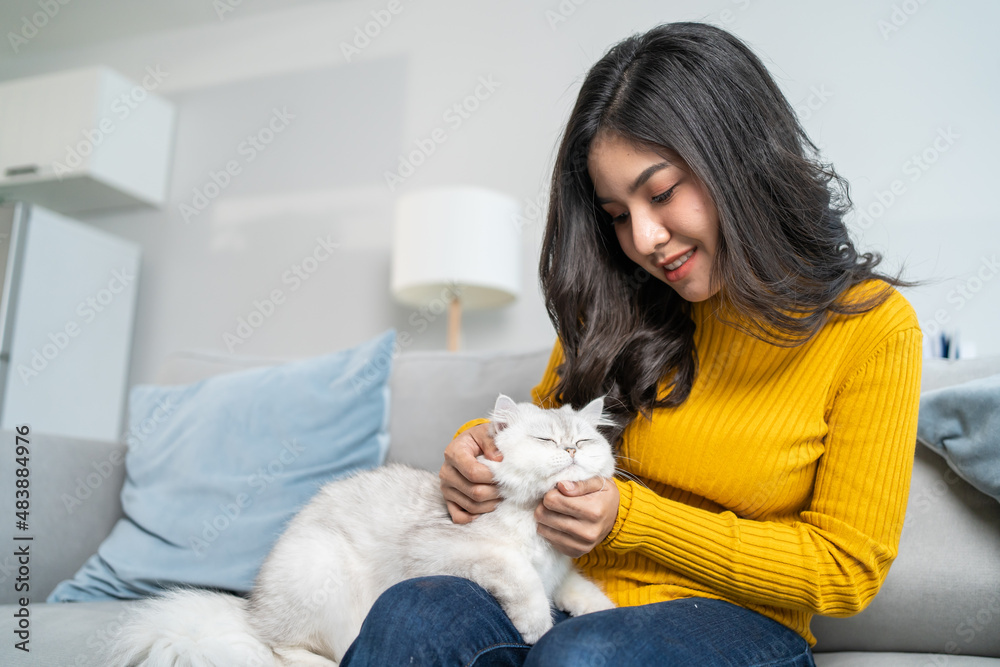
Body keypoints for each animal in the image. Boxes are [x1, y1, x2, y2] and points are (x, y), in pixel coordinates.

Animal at [113, 394, 620, 664]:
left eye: (583, 440)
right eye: (546, 439)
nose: (572, 450)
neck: (533, 523)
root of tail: (249, 611)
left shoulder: (560, 572)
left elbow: (581, 591)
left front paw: (601, 611)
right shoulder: (451, 548)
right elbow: (519, 577)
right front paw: (536, 627)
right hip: (319, 573)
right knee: (283, 650)